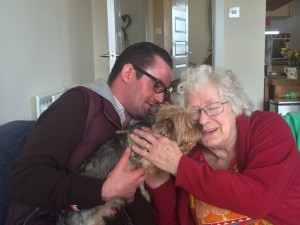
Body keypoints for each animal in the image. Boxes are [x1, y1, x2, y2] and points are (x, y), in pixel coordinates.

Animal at [56, 103, 202, 225]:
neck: (152, 126)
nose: (200, 126)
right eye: (190, 125)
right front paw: (188, 147)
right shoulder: (147, 158)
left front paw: (145, 194)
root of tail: (62, 216)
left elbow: (142, 183)